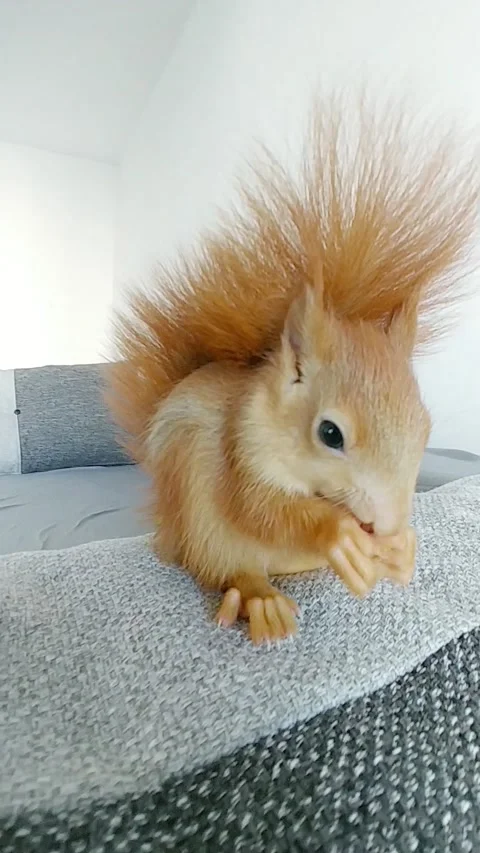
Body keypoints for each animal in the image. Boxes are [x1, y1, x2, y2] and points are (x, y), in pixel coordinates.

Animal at [108, 95, 479, 645]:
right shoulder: (238, 445)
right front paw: (338, 534)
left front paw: (401, 549)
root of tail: (168, 526)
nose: (385, 524)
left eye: (425, 428)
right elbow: (260, 508)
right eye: (329, 433)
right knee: (224, 566)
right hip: (196, 509)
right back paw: (260, 601)